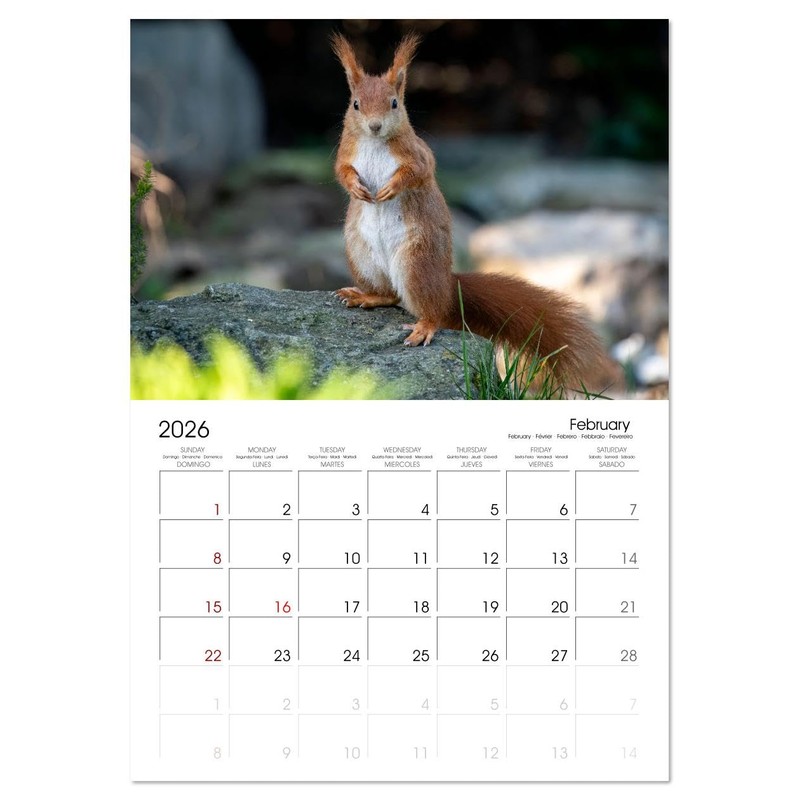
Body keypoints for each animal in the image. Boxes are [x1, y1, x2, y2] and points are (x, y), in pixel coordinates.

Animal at [331, 33, 617, 392]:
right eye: (355, 103)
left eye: (394, 102)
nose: (374, 126)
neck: (373, 143)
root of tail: (447, 285)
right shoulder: (346, 152)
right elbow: (341, 172)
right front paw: (356, 188)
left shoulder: (418, 154)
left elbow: (419, 172)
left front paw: (391, 188)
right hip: (362, 257)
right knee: (391, 296)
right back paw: (366, 297)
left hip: (417, 264)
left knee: (431, 311)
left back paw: (424, 326)